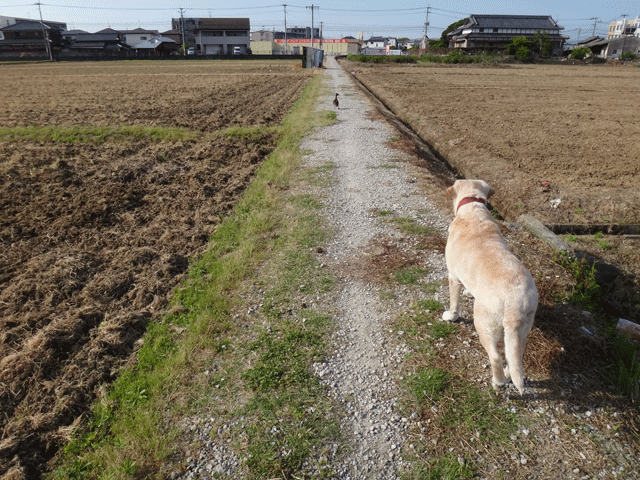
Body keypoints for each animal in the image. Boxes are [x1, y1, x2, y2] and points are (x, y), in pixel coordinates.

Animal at [442, 180, 536, 394]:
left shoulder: (453, 277)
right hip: (521, 330)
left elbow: (454, 303)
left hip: (484, 323)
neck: (473, 207)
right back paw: (508, 376)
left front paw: (451, 316)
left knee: (495, 357)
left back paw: (498, 382)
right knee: (514, 359)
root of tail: (513, 302)